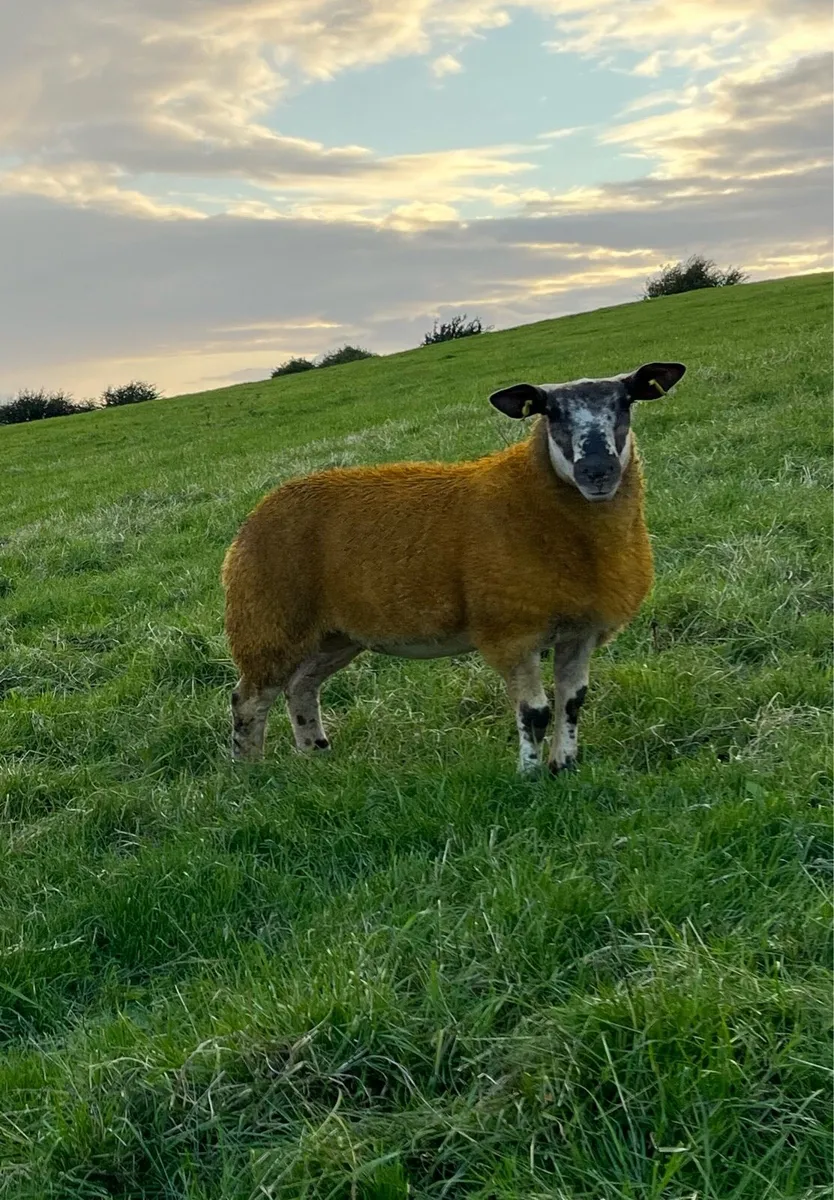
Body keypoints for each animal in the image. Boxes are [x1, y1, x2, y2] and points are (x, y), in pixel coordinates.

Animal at [222, 360, 686, 774]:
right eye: (550, 412)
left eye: (625, 403)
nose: (596, 471)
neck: (532, 495)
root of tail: (256, 514)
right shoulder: (510, 632)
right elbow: (534, 712)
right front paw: (531, 776)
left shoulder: (581, 630)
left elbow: (571, 703)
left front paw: (564, 767)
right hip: (269, 622)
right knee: (249, 699)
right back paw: (250, 772)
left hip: (336, 633)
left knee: (301, 688)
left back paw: (317, 756)